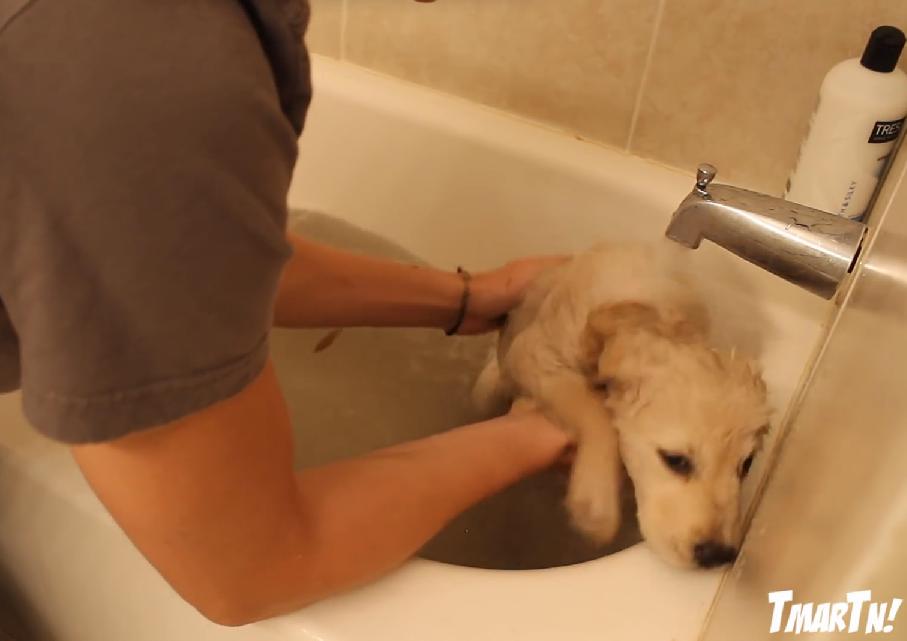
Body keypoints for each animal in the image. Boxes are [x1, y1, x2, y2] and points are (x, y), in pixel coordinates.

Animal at [472, 242, 768, 568]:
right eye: (676, 460)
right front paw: (595, 501)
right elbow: (591, 408)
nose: (718, 555)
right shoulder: (533, 352)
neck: (644, 314)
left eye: (746, 465)